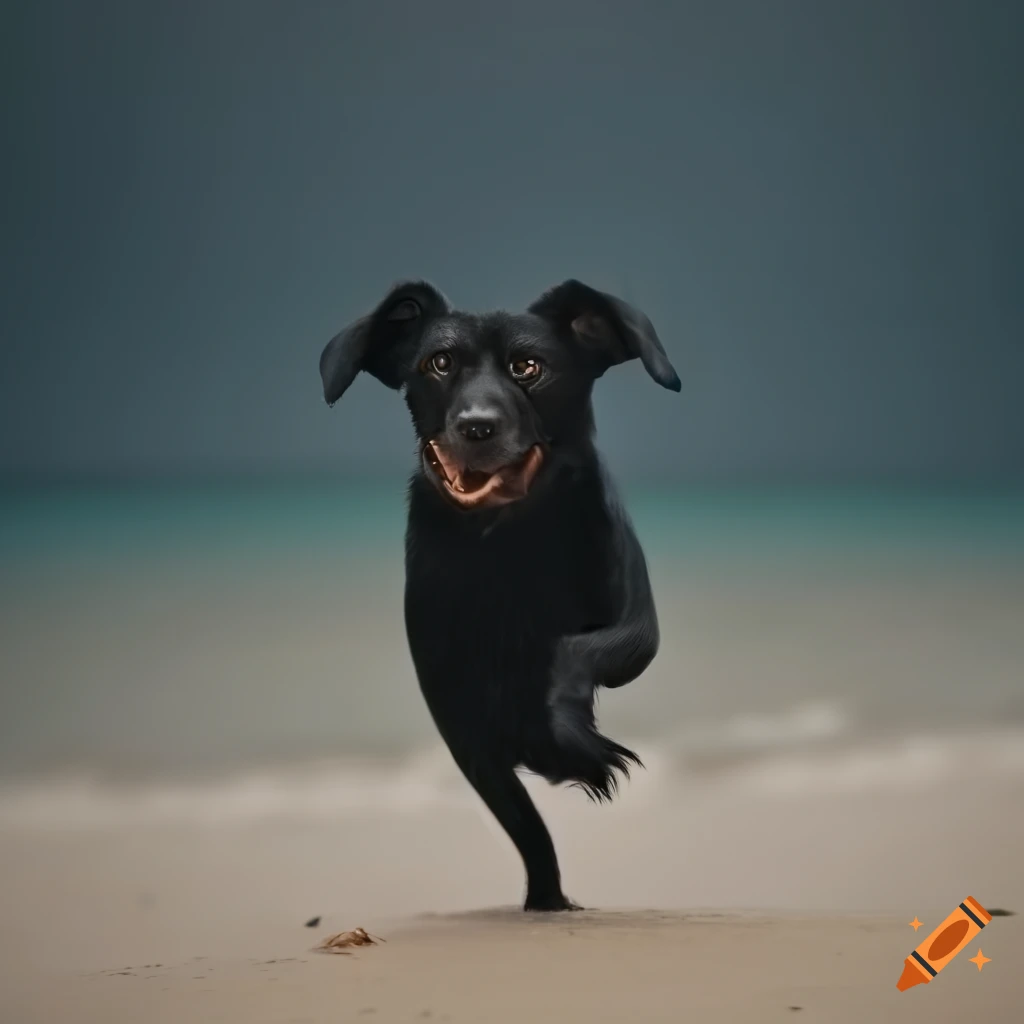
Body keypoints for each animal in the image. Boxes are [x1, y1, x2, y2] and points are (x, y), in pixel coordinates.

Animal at [319, 280, 679, 913]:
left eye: (528, 367)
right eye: (438, 363)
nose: (477, 425)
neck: (505, 544)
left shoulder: (639, 627)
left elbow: (573, 653)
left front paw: (571, 748)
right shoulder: (461, 726)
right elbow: (527, 828)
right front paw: (548, 899)